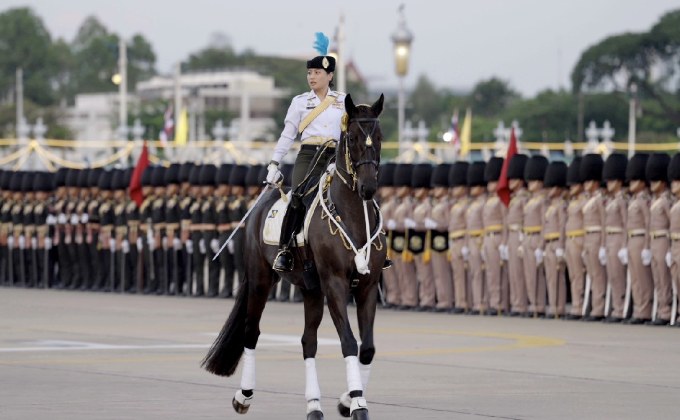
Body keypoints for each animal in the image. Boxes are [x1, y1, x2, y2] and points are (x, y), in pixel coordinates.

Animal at [202, 93, 386, 418]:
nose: (367, 187)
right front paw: (357, 403)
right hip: (261, 280)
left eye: (378, 137)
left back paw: (314, 405)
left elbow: (367, 348)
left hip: (311, 290)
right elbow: (348, 342)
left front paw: (347, 400)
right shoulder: (335, 283)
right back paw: (244, 395)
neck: (353, 216)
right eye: (351, 137)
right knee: (251, 332)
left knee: (308, 342)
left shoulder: (367, 286)